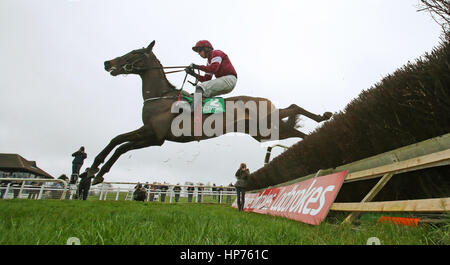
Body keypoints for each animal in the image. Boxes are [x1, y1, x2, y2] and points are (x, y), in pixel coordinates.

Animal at [89, 40, 334, 185]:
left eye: (135, 52)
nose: (107, 63)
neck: (161, 98)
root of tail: (263, 101)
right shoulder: (150, 133)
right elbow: (117, 141)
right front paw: (93, 170)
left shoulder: (154, 135)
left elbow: (121, 145)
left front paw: (96, 172)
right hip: (263, 131)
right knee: (292, 113)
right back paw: (321, 124)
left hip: (268, 124)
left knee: (295, 116)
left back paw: (322, 125)